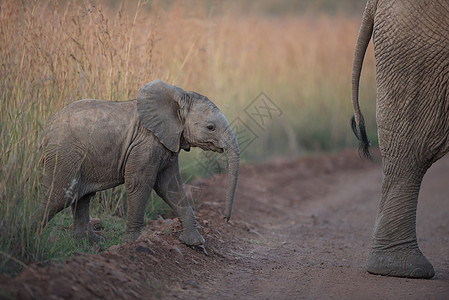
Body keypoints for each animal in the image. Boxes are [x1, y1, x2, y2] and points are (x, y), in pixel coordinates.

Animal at [37, 79, 240, 246]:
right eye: (210, 127)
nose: (225, 219)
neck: (178, 97)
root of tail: (46, 129)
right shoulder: (146, 143)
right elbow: (139, 183)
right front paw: (133, 242)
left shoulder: (168, 143)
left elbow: (170, 187)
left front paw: (195, 243)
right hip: (64, 153)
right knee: (61, 196)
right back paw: (31, 236)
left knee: (82, 197)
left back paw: (92, 241)